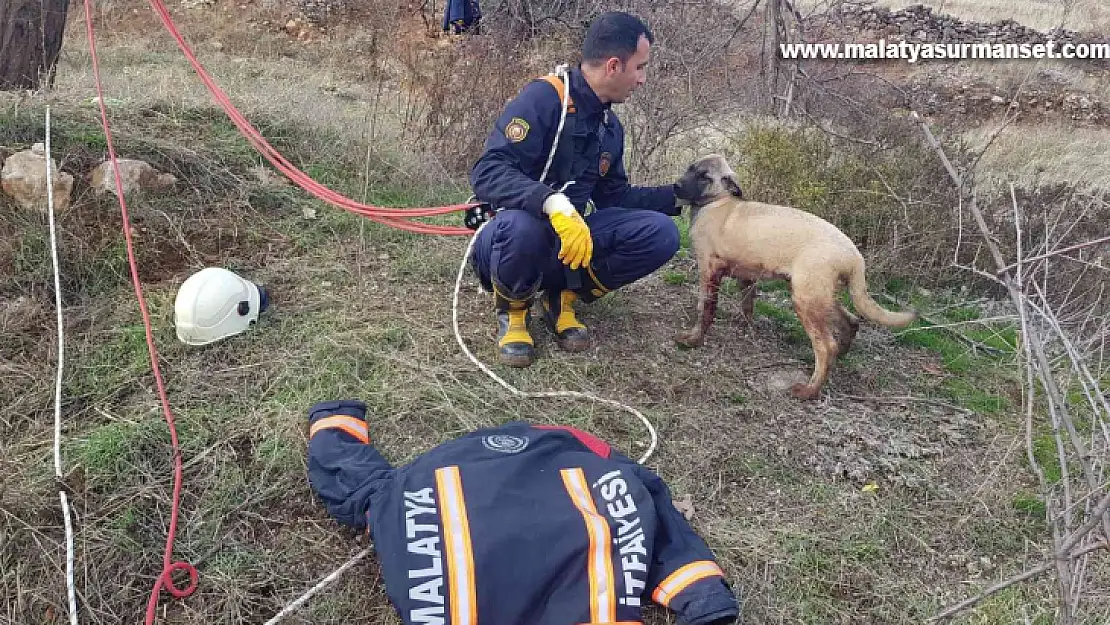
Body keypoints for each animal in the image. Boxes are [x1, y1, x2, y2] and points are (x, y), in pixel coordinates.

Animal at [670, 156, 914, 401]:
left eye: (704, 176)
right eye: (690, 168)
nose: (676, 186)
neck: (716, 203)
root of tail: (854, 255)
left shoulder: (709, 270)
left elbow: (705, 309)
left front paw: (694, 340)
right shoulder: (747, 277)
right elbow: (747, 306)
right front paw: (744, 327)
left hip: (805, 300)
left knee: (826, 347)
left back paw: (809, 390)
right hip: (818, 296)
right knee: (851, 321)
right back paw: (841, 357)